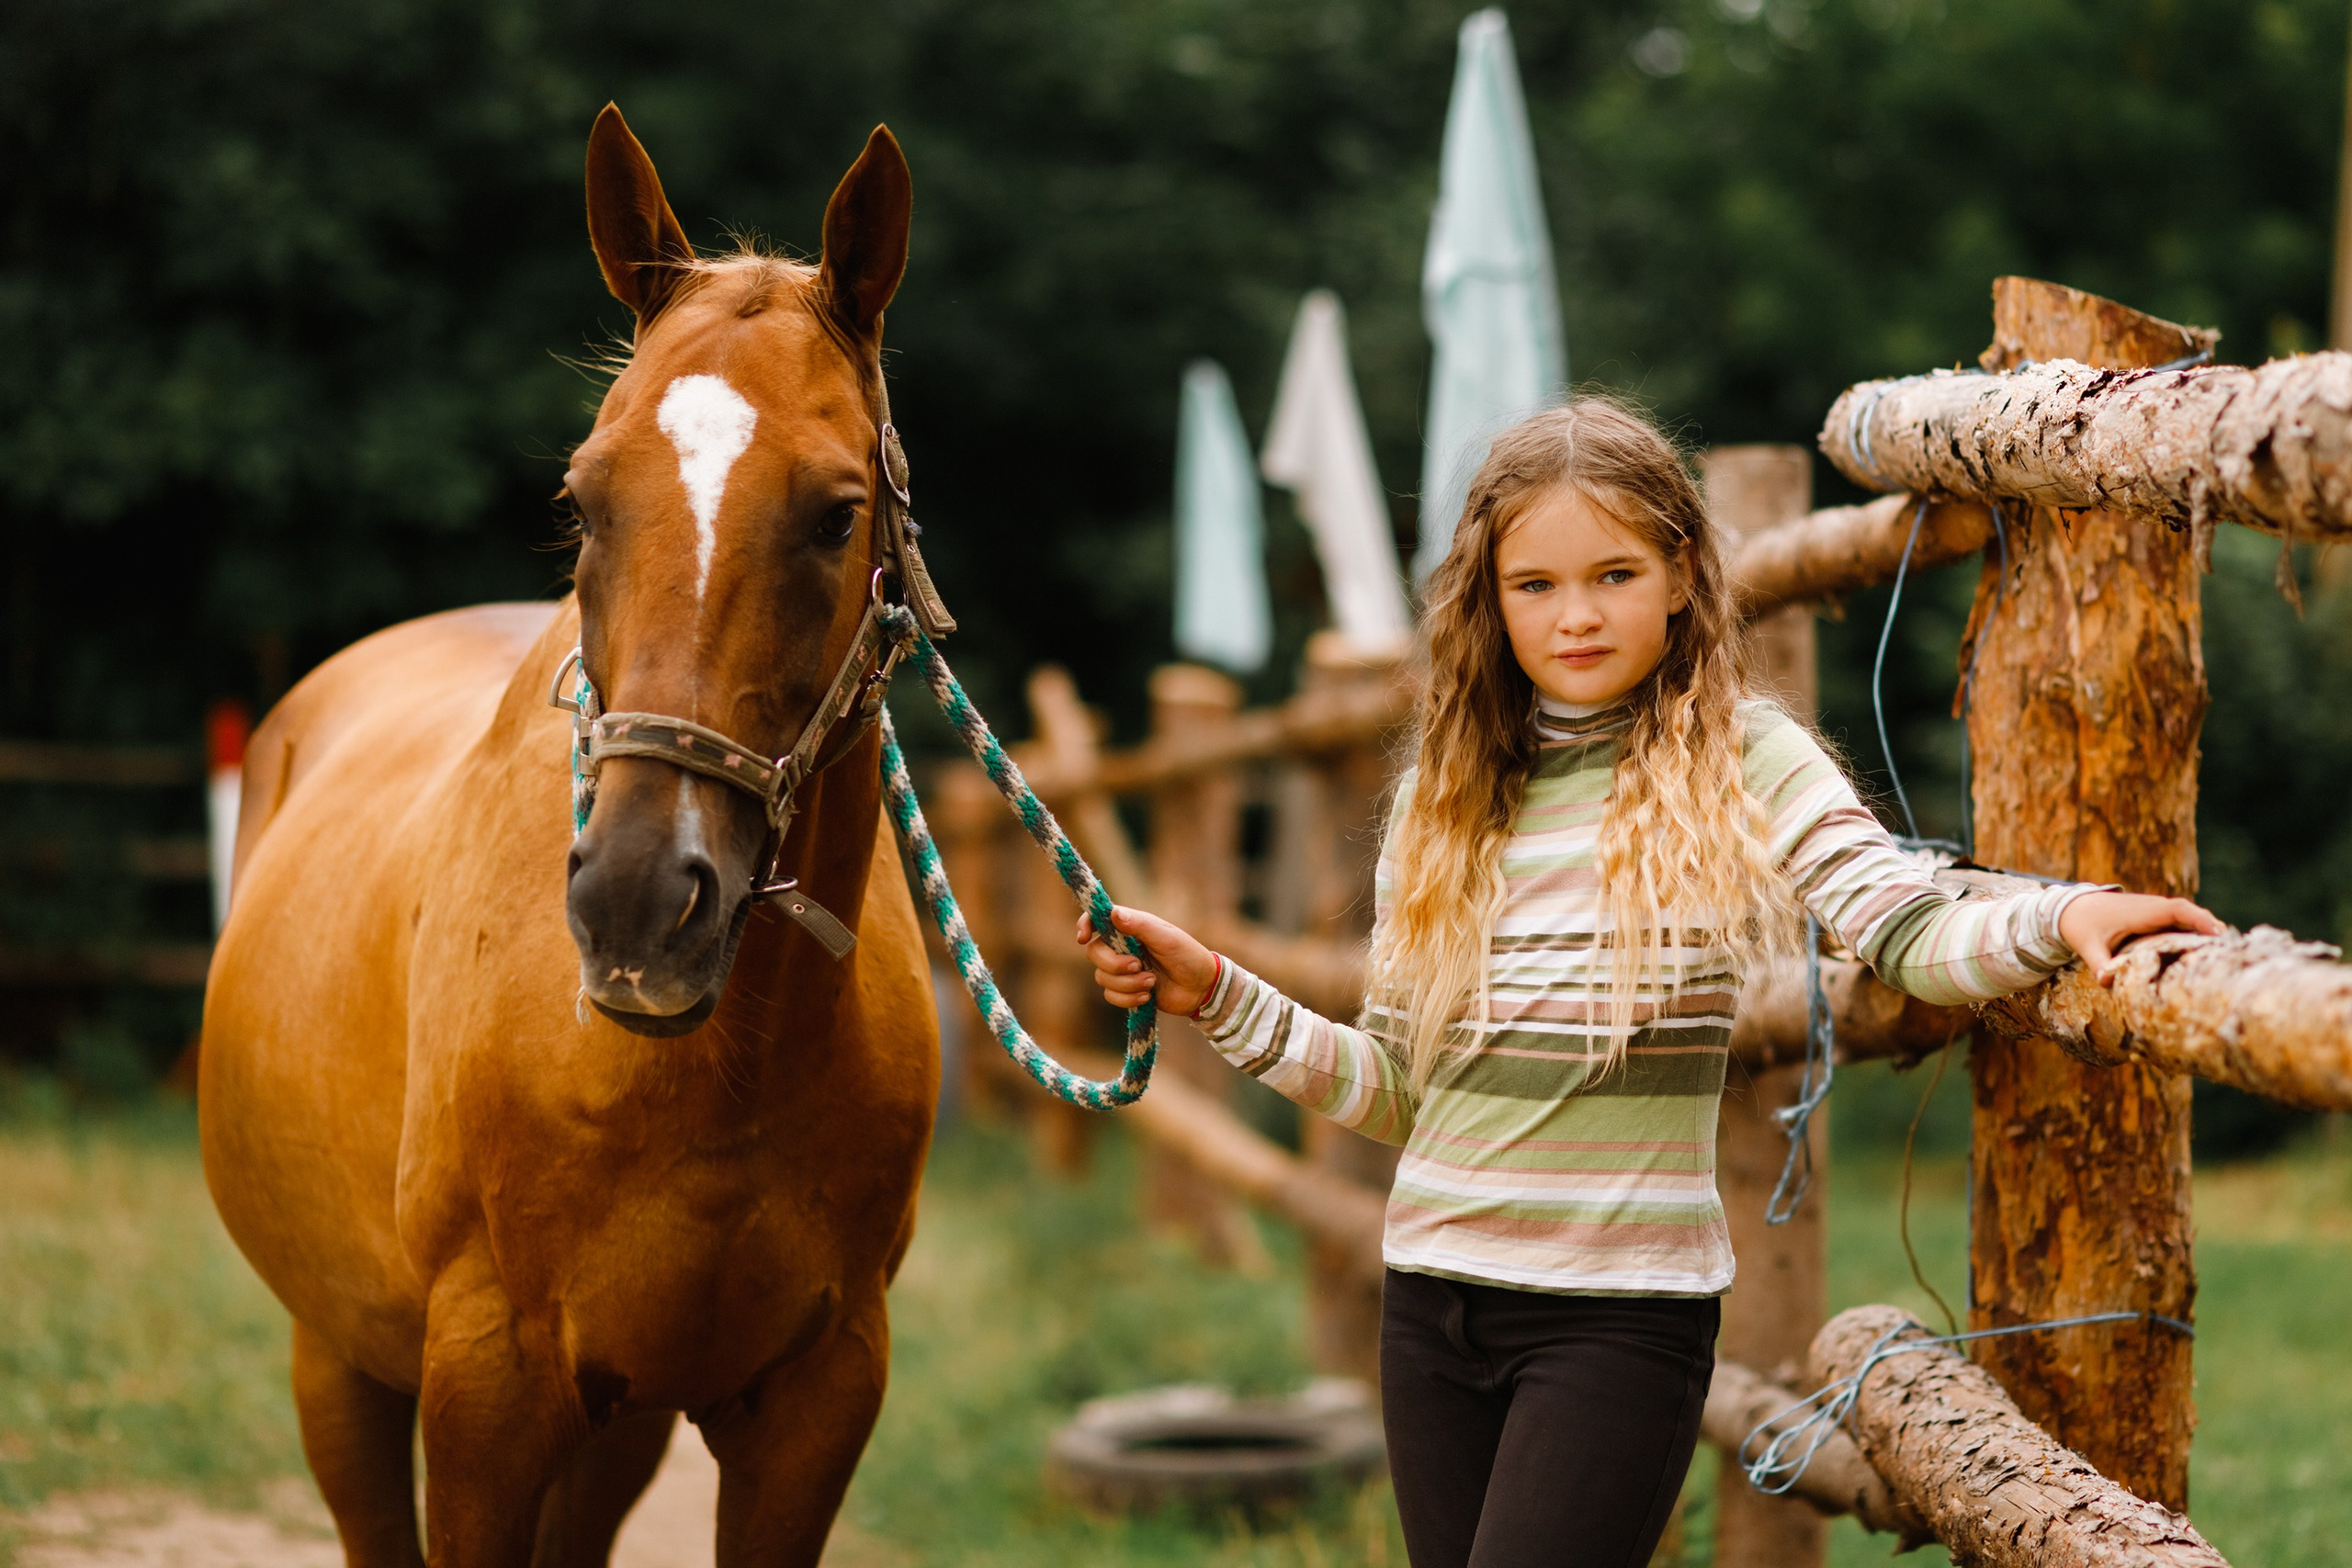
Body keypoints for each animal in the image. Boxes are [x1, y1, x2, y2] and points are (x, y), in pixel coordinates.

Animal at [199, 105, 943, 1568]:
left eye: (838, 514)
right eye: (585, 500)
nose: (639, 904)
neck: (713, 1072)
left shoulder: (812, 1405)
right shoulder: (485, 1392)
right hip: (340, 1361)